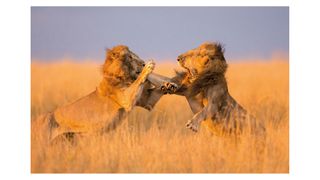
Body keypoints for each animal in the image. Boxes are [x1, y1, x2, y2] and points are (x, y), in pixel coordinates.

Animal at [37, 45, 178, 142]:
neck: (124, 77)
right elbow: (139, 80)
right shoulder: (126, 99)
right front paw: (149, 66)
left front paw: (169, 86)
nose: (143, 63)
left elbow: (152, 91)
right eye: (131, 57)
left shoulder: (147, 102)